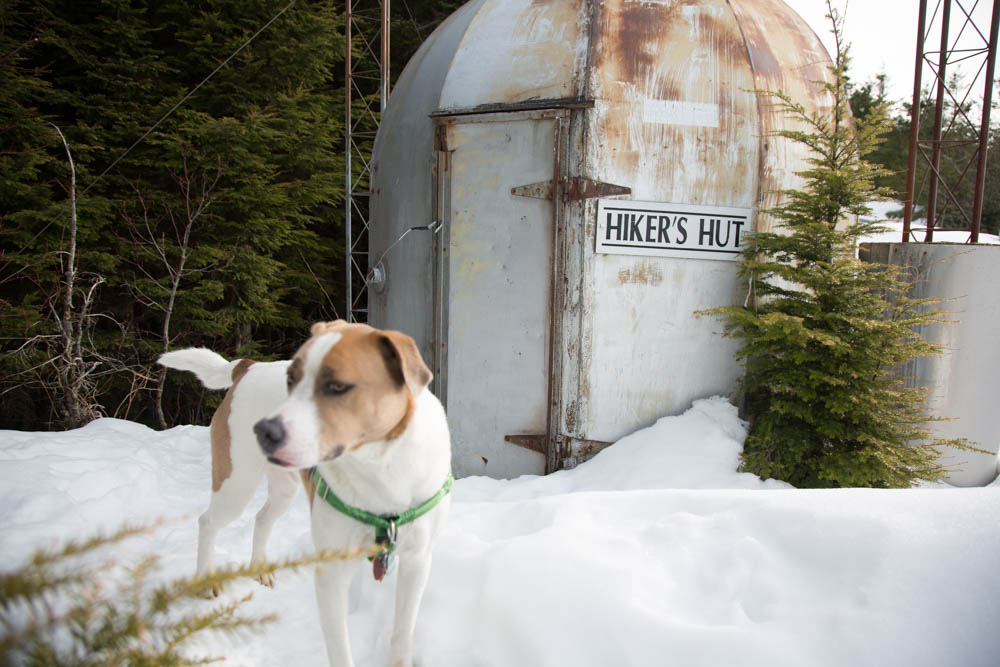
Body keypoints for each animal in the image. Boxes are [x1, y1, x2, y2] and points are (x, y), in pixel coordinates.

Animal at [159, 320, 454, 664]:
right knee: (208, 522)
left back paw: (260, 569)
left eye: (337, 386)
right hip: (236, 482)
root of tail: (248, 367)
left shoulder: (416, 561)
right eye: (291, 378)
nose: (264, 431)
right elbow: (339, 648)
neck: (379, 467)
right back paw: (206, 580)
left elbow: (401, 635)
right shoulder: (331, 571)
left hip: (284, 488)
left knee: (262, 518)